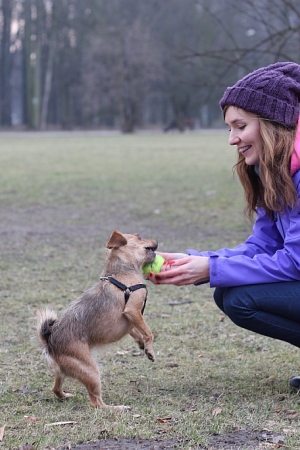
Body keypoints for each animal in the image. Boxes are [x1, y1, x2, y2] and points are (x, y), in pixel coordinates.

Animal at [36, 230, 158, 410]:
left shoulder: (131, 320)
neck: (120, 272)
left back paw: (65, 395)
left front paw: (142, 344)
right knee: (96, 403)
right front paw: (149, 349)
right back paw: (118, 408)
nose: (156, 241)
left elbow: (137, 331)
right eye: (139, 236)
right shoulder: (133, 311)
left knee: (56, 388)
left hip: (65, 371)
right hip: (91, 370)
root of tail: (49, 343)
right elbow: (148, 332)